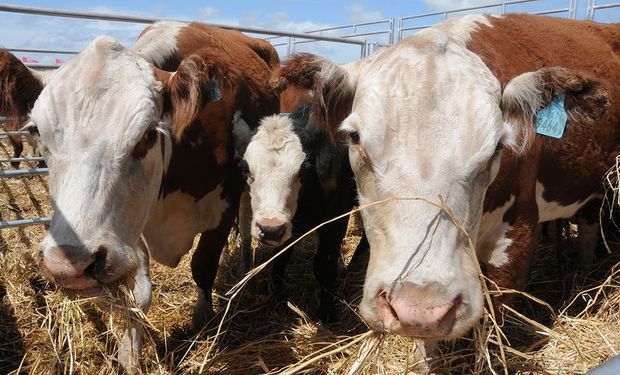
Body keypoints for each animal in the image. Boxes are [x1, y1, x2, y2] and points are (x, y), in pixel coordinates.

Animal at [0, 21, 278, 370]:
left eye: (147, 135)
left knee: (246, 218)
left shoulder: (222, 206)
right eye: (36, 130)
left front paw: (203, 320)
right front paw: (130, 352)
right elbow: (139, 294)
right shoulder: (131, 229)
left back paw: (243, 263)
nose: (67, 265)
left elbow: (203, 265)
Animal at [235, 104, 366, 322]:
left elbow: (324, 266)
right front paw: (277, 294)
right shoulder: (288, 225)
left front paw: (327, 313)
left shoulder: (336, 218)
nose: (269, 229)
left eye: (303, 169)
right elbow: (280, 257)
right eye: (246, 169)